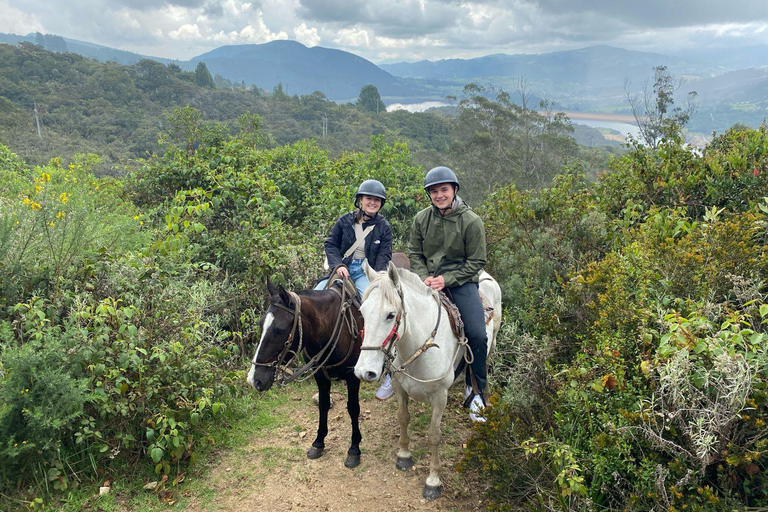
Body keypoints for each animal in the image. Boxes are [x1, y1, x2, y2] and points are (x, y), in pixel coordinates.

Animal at [248, 278, 364, 466]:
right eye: (260, 324)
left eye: (279, 330)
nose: (254, 379)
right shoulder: (319, 374)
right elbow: (323, 404)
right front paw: (318, 443)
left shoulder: (352, 376)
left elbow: (353, 408)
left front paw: (354, 449)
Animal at [356, 262, 504, 498]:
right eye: (362, 312)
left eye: (390, 315)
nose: (364, 372)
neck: (418, 346)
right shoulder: (399, 387)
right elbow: (403, 418)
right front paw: (404, 455)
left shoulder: (440, 396)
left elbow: (434, 435)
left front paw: (433, 480)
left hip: (490, 347)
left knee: (480, 374)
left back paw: (479, 403)